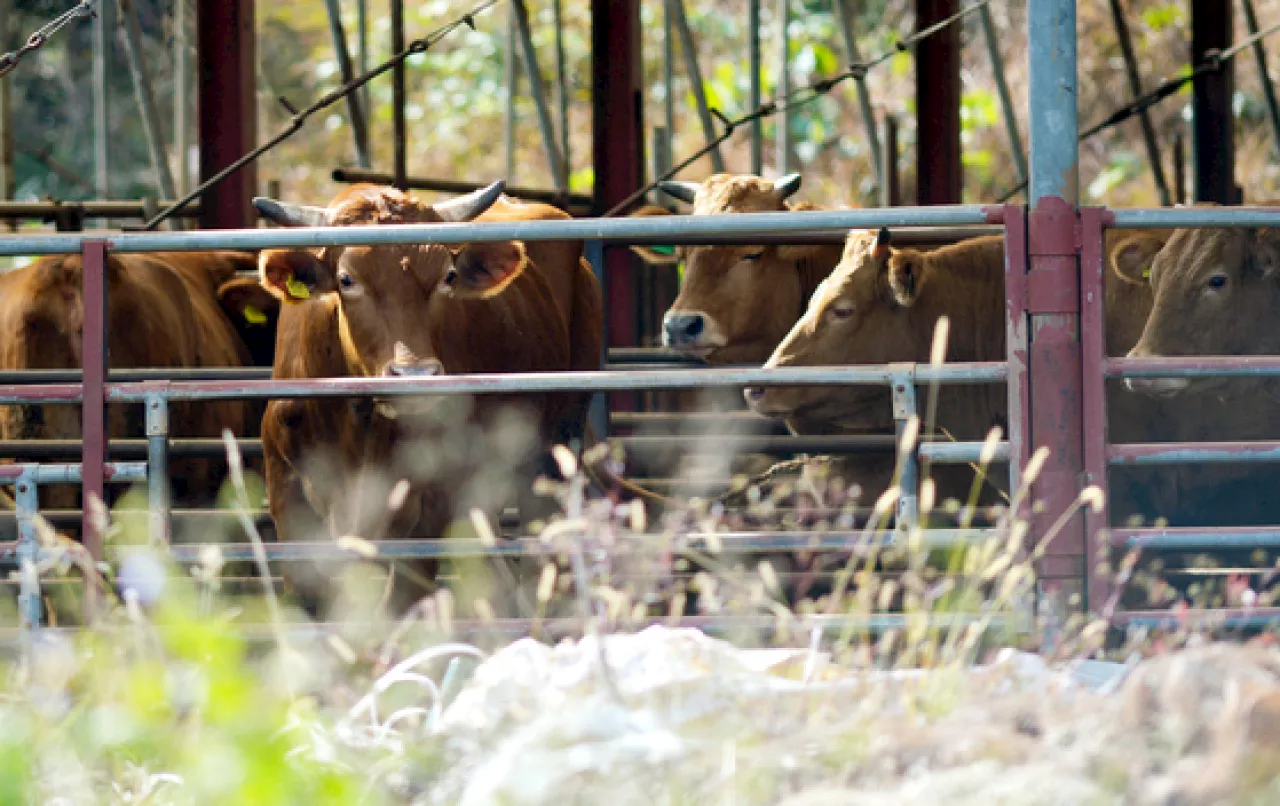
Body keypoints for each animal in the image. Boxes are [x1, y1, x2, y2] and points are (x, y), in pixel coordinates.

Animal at [254, 180, 604, 616]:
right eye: (347, 279)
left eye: (448, 276)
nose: (415, 375)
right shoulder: (287, 498)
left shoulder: (427, 515)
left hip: (555, 451)